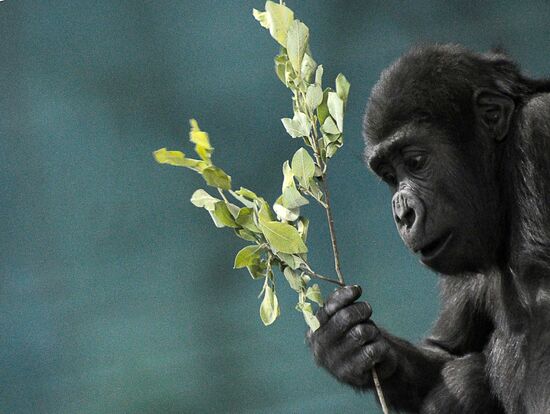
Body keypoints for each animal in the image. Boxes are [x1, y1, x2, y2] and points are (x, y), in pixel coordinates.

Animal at [308, 43, 548, 412]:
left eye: (415, 162)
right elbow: (447, 351)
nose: (402, 213)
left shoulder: (537, 131)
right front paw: (342, 343)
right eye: (390, 176)